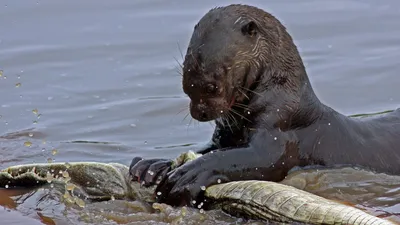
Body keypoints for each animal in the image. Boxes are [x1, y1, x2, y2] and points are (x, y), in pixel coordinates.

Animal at [130, 3, 400, 207]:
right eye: (185, 84)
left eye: (213, 87)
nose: (199, 112)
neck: (281, 99)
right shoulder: (226, 135)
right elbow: (210, 149)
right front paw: (152, 166)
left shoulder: (280, 130)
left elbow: (254, 158)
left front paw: (187, 176)